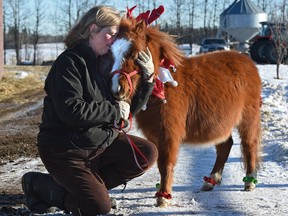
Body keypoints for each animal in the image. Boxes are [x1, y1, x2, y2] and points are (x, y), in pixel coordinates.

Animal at [109, 17, 260, 207]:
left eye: (135, 54)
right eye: (112, 53)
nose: (117, 89)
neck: (165, 86)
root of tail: (247, 61)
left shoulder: (168, 134)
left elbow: (165, 164)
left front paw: (163, 197)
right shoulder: (155, 135)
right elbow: (161, 164)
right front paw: (161, 192)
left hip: (248, 119)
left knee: (249, 144)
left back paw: (249, 181)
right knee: (225, 146)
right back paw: (211, 181)